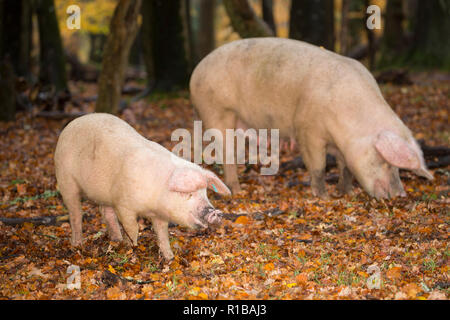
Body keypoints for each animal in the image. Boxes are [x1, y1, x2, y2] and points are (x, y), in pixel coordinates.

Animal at [54, 112, 230, 260]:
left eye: (205, 193)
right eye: (187, 194)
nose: (215, 212)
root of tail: (72, 123)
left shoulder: (159, 215)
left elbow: (162, 233)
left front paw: (169, 257)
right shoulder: (123, 205)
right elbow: (133, 228)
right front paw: (131, 247)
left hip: (103, 194)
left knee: (105, 212)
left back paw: (116, 239)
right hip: (65, 180)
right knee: (76, 214)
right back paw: (78, 244)